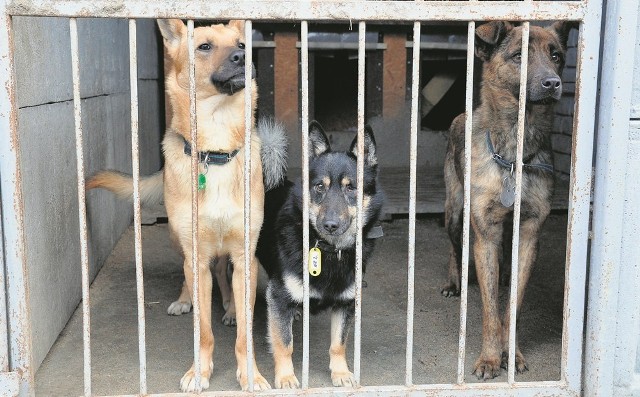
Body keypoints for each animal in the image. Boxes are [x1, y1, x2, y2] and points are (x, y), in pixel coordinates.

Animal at [86, 17, 286, 390]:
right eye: (204, 46)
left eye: (241, 43)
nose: (243, 56)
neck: (217, 150)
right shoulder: (195, 255)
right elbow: (203, 331)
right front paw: (200, 370)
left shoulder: (244, 256)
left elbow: (245, 335)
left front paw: (250, 373)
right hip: (180, 242)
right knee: (192, 275)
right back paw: (185, 300)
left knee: (223, 274)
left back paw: (231, 308)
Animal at [258, 121, 384, 386]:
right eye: (319, 186)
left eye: (351, 188)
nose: (330, 225)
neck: (330, 251)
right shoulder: (277, 298)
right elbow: (284, 344)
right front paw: (286, 377)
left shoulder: (346, 303)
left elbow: (339, 343)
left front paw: (341, 373)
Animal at [442, 20, 576, 378]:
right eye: (518, 56)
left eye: (556, 56)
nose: (553, 83)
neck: (515, 153)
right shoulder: (485, 234)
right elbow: (491, 310)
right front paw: (490, 357)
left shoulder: (529, 234)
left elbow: (513, 306)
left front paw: (510, 354)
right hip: (455, 213)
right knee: (454, 247)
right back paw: (454, 281)